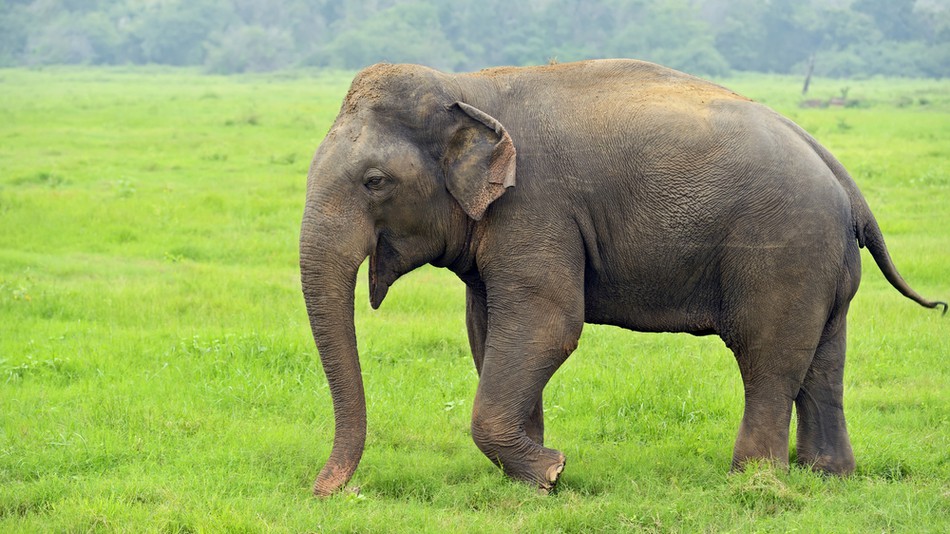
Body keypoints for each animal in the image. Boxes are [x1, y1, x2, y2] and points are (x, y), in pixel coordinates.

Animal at [299, 59, 946, 496]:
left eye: (375, 181)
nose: (327, 491)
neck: (468, 86)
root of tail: (840, 174)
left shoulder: (536, 207)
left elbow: (549, 325)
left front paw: (552, 472)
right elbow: (487, 329)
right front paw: (535, 475)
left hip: (784, 251)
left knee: (769, 356)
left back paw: (751, 481)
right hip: (825, 263)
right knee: (824, 359)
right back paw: (828, 476)